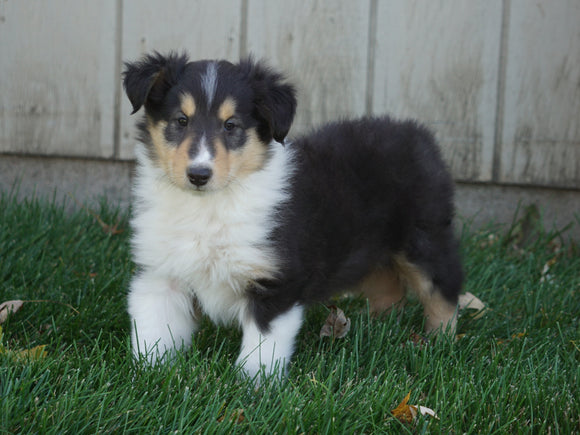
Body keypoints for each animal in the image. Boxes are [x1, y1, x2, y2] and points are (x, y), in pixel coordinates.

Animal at [122, 52, 462, 382]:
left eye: (231, 125)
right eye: (181, 121)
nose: (198, 175)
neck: (209, 206)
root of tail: (416, 133)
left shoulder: (277, 282)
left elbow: (262, 346)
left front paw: (253, 386)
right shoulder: (161, 276)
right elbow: (155, 330)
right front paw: (149, 374)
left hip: (424, 239)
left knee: (443, 292)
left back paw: (439, 343)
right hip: (368, 248)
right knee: (389, 288)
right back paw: (378, 329)